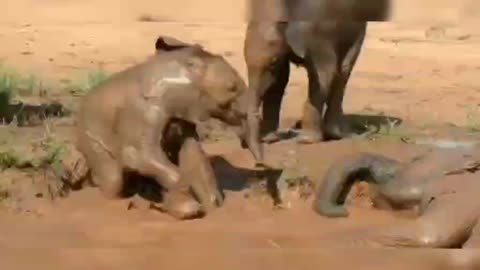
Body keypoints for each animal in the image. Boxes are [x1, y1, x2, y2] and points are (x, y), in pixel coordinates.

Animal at [76, 36, 251, 219]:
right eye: (232, 88)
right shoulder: (143, 112)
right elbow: (139, 156)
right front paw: (189, 210)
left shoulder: (183, 112)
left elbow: (193, 154)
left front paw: (214, 207)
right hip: (89, 135)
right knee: (113, 179)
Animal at [242, 0, 392, 162]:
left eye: (272, 62)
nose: (260, 161)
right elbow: (279, 80)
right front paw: (269, 139)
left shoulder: (319, 32)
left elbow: (324, 74)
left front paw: (305, 141)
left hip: (358, 29)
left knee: (343, 70)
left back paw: (335, 134)